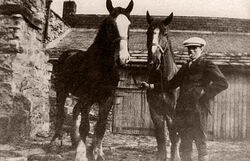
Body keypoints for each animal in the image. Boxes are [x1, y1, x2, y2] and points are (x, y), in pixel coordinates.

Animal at [49, 0, 134, 161]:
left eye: (129, 25)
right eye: (111, 24)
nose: (123, 59)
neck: (102, 67)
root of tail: (67, 54)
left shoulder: (107, 99)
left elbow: (100, 127)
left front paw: (97, 153)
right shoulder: (88, 97)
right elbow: (85, 126)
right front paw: (82, 154)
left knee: (75, 110)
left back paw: (74, 140)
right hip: (62, 91)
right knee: (61, 113)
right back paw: (56, 141)